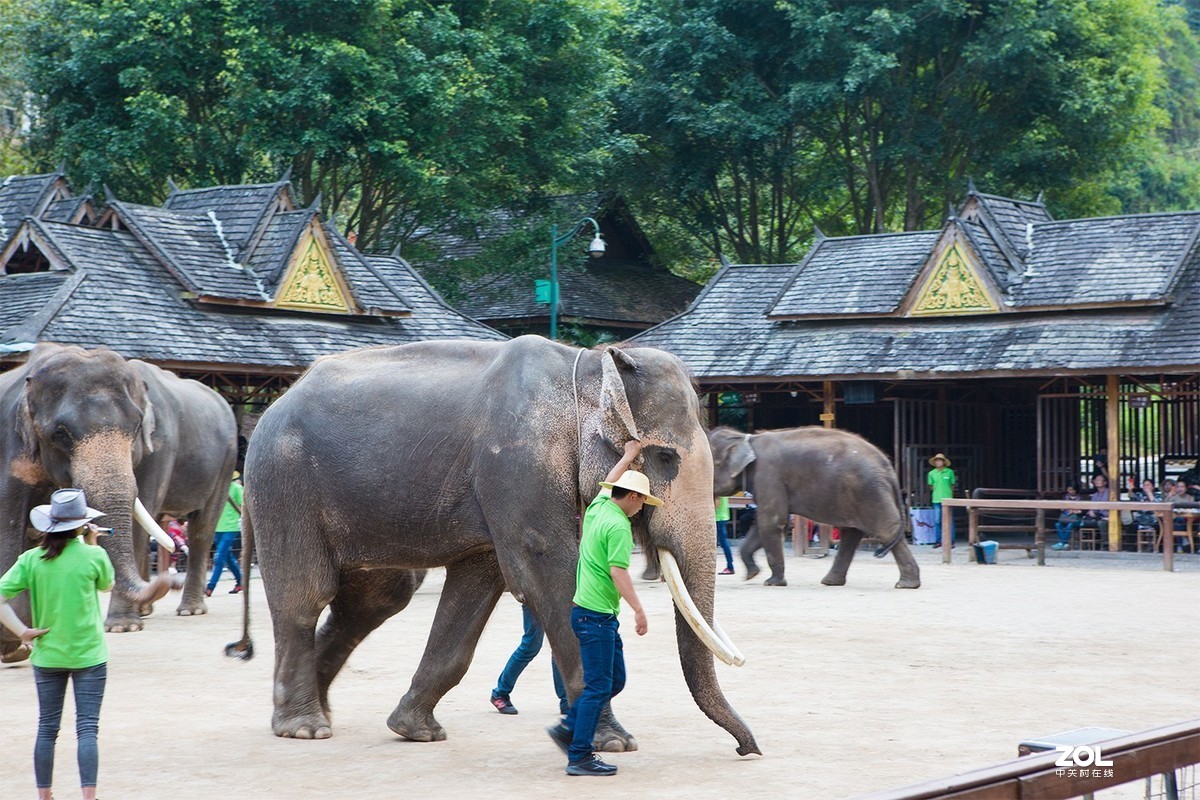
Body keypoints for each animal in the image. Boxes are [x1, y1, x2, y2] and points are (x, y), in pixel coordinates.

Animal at [0, 343, 238, 657]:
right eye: (60, 433)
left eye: (136, 427)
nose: (170, 580)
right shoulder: (11, 448)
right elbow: (11, 522)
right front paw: (16, 644)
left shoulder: (159, 447)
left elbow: (140, 514)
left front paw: (122, 626)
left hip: (226, 462)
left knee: (202, 528)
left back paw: (190, 610)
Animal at [235, 335, 758, 758]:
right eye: (666, 458)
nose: (747, 749)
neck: (587, 362)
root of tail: (272, 407)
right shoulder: (518, 465)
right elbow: (547, 570)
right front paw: (616, 742)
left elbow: (477, 585)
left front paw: (415, 731)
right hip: (284, 484)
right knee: (306, 595)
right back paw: (304, 728)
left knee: (378, 598)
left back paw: (318, 712)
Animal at [705, 424, 921, 587]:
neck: (745, 439)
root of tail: (888, 466)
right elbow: (763, 525)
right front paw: (752, 574)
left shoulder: (768, 476)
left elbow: (771, 522)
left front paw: (772, 582)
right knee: (851, 534)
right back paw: (830, 582)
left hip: (869, 491)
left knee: (885, 530)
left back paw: (905, 585)